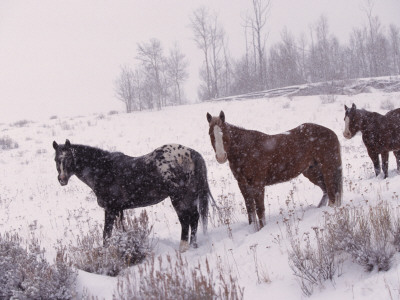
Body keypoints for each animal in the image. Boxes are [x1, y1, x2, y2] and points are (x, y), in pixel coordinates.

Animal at [54, 139, 214, 252]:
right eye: (56, 159)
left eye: (69, 158)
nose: (62, 179)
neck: (103, 169)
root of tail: (191, 153)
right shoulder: (119, 210)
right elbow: (119, 230)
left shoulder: (110, 209)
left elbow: (106, 234)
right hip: (190, 197)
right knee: (194, 218)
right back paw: (193, 245)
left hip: (178, 198)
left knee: (185, 220)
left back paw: (183, 248)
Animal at [208, 111, 342, 231]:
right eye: (210, 134)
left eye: (224, 133)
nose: (221, 157)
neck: (246, 149)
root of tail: (331, 132)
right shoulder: (243, 185)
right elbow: (250, 209)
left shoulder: (258, 184)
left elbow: (259, 210)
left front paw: (261, 230)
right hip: (312, 172)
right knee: (326, 191)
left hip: (328, 169)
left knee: (332, 194)